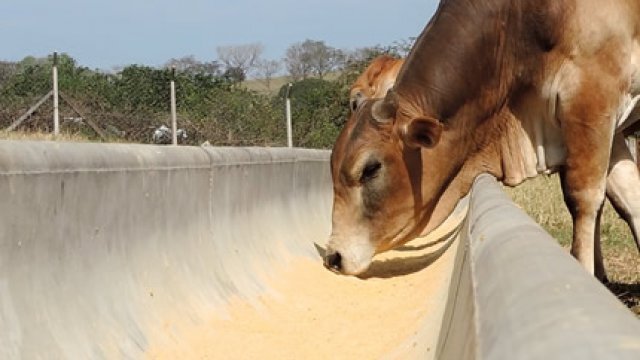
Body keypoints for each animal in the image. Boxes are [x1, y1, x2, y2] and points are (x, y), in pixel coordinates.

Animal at [328, 0, 640, 278]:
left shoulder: (592, 100)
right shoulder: (607, 125)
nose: (334, 257)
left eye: (370, 169)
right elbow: (630, 199)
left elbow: (584, 199)